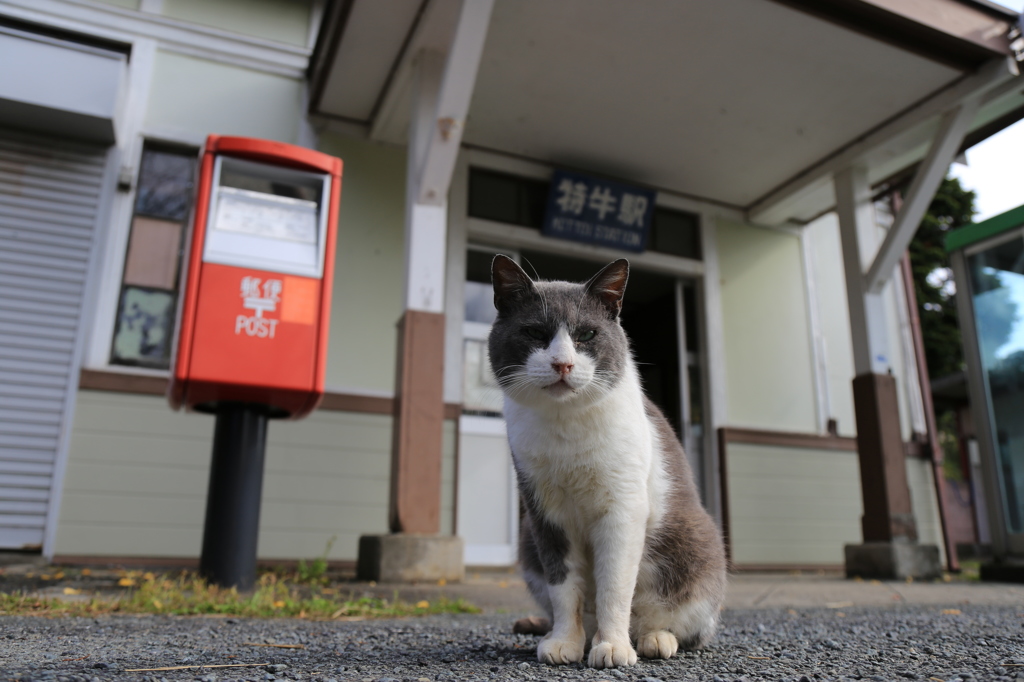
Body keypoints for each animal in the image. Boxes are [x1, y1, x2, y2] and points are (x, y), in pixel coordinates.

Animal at [487, 251, 729, 667]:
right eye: (534, 333)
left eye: (586, 335)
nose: (562, 363)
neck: (565, 427)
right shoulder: (545, 513)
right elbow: (564, 586)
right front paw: (564, 641)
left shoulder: (623, 508)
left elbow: (613, 585)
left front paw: (613, 646)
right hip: (527, 540)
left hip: (697, 544)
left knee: (677, 624)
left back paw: (652, 639)